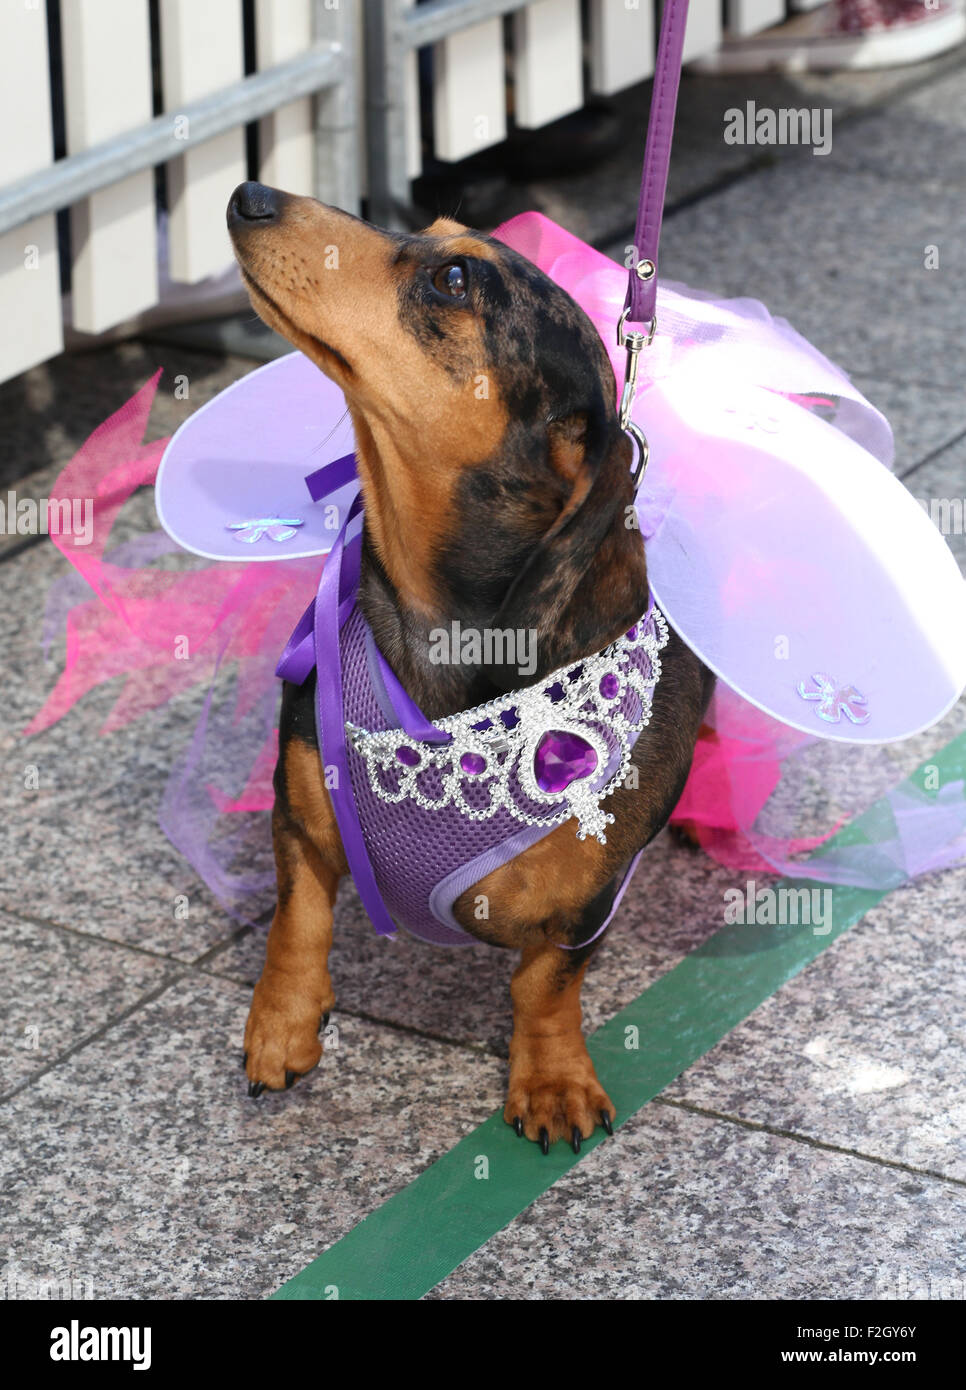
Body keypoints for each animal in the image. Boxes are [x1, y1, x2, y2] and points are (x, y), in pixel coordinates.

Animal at [225, 182, 711, 1150]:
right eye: (433, 233)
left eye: (453, 277)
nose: (249, 192)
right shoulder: (301, 806)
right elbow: (297, 919)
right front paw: (282, 1026)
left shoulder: (585, 908)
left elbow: (544, 986)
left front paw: (552, 1080)